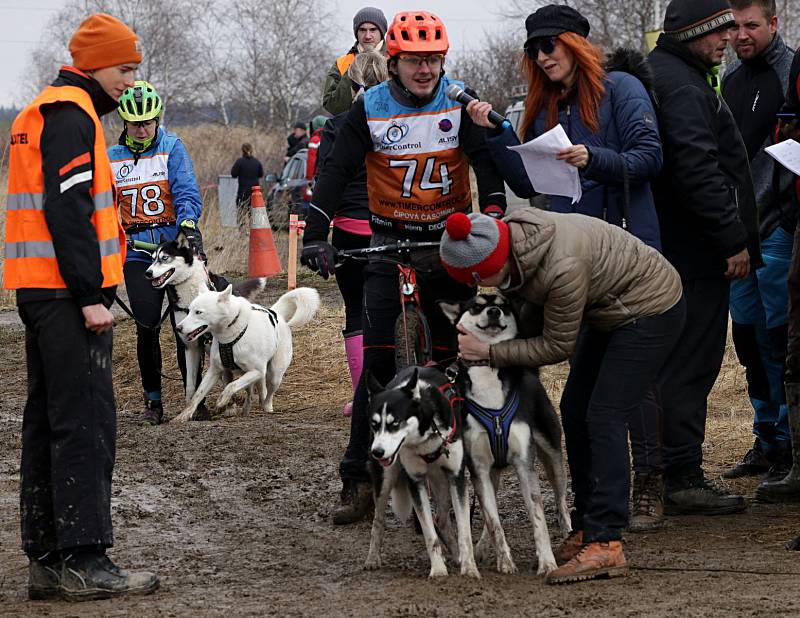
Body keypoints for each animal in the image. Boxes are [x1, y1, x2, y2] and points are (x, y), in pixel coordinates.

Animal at [173, 282, 320, 418]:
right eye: (189, 311)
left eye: (199, 312)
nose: (178, 328)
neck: (230, 333)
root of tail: (276, 315)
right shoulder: (215, 371)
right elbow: (198, 395)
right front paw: (182, 416)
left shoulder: (257, 370)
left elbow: (230, 386)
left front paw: (221, 401)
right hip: (244, 375)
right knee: (252, 393)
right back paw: (246, 409)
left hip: (274, 374)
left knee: (267, 394)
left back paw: (266, 407)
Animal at [366, 364, 478, 576]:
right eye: (374, 425)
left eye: (395, 423)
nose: (377, 452)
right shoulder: (416, 481)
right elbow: (429, 533)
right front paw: (438, 570)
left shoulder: (456, 476)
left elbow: (464, 530)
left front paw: (469, 567)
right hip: (385, 480)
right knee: (378, 520)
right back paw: (373, 557)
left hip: (442, 483)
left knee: (442, 521)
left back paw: (457, 556)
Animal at [438, 292, 568, 576]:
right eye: (476, 306)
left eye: (504, 305)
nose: (494, 312)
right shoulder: (479, 469)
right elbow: (494, 521)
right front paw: (505, 561)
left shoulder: (524, 465)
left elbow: (538, 519)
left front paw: (547, 562)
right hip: (490, 474)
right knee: (490, 515)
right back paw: (483, 548)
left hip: (553, 455)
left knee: (562, 499)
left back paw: (569, 530)